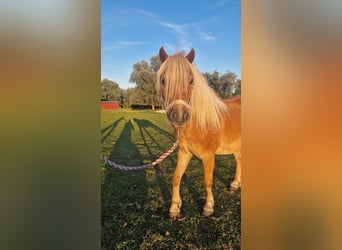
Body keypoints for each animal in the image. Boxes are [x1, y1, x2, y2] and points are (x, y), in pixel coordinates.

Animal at [157, 47, 240, 219]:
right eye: (163, 80)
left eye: (191, 81)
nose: (179, 116)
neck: (200, 124)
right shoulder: (184, 153)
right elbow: (176, 177)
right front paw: (174, 207)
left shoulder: (209, 156)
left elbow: (207, 180)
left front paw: (208, 206)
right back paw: (235, 184)